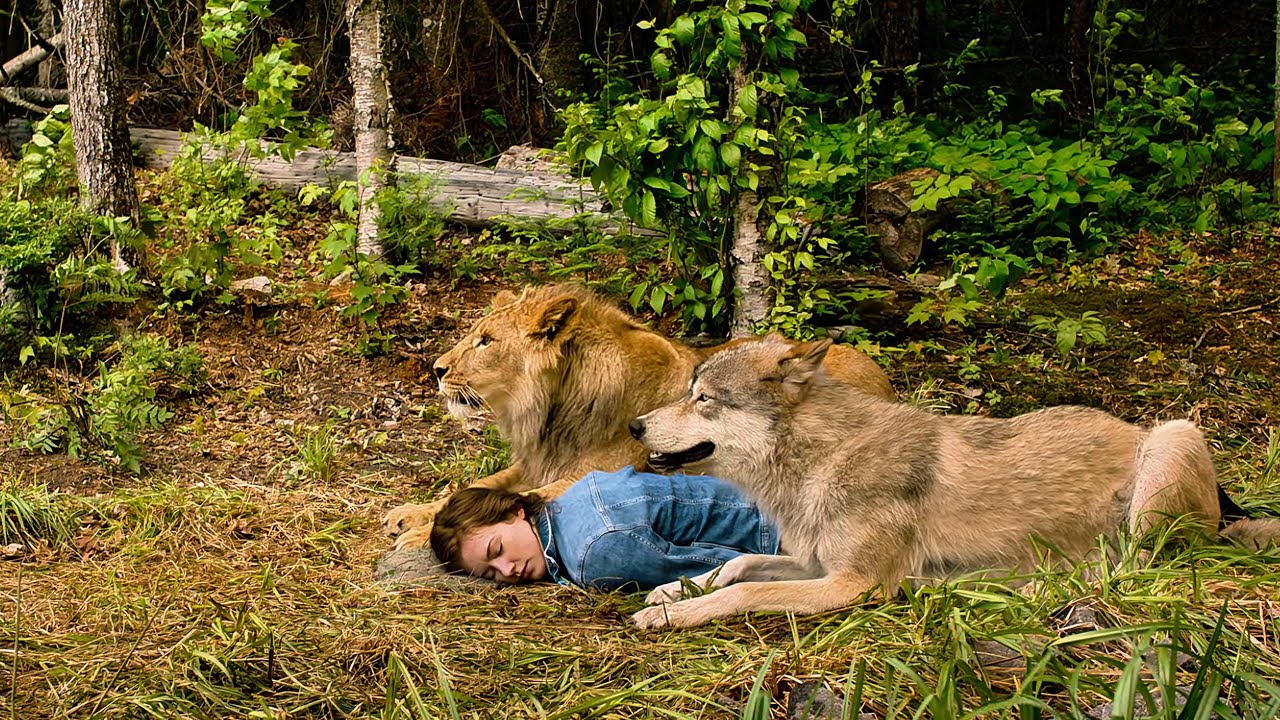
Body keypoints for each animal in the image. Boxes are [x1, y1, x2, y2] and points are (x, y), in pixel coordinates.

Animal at [383, 284, 896, 550]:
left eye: (486, 341)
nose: (436, 369)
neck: (552, 409)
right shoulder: (536, 462)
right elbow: (476, 486)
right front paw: (410, 514)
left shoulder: (589, 476)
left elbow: (522, 498)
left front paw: (422, 534)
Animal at [627, 334, 1280, 629]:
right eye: (689, 391)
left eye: (704, 399)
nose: (635, 426)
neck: (820, 461)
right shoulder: (816, 564)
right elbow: (736, 564)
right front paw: (673, 590)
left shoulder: (856, 585)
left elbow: (741, 593)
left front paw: (671, 615)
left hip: (1172, 439)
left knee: (1136, 569)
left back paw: (1034, 588)